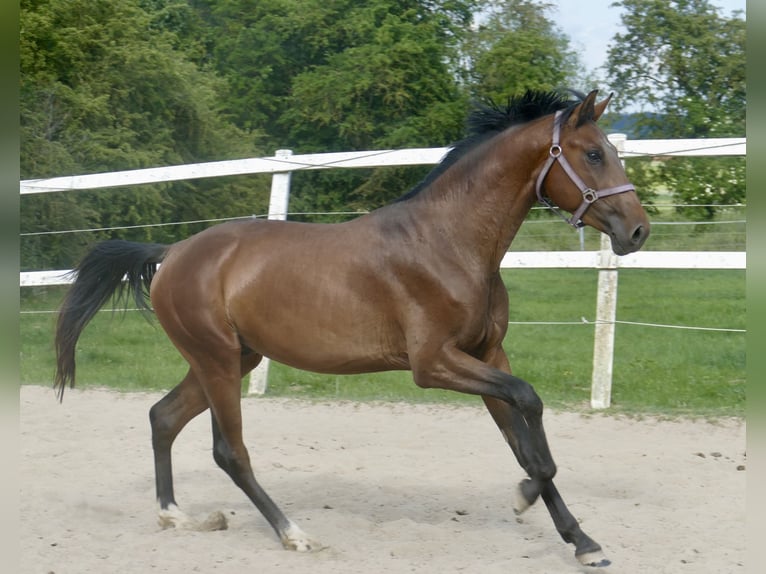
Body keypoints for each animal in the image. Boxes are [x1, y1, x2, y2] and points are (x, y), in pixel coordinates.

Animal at [54, 89, 652, 568]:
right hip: (217, 361)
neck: (448, 243)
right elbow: (529, 410)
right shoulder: (434, 363)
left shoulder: (489, 354)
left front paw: (583, 542)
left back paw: (179, 517)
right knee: (229, 451)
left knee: (163, 417)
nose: (638, 230)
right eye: (593, 153)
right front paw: (525, 494)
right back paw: (295, 535)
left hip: (232, 359)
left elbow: (522, 436)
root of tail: (171, 252)